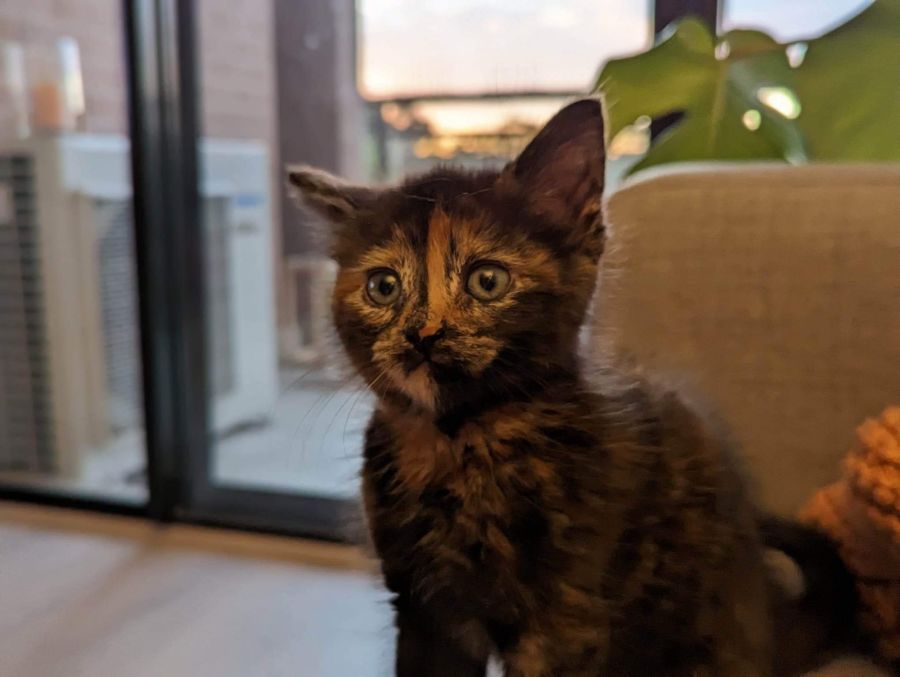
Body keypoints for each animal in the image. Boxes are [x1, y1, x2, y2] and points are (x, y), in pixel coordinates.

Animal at [289, 99, 859, 676]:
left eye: (487, 281)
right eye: (383, 287)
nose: (422, 334)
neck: (458, 444)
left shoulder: (566, 619)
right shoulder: (425, 609)